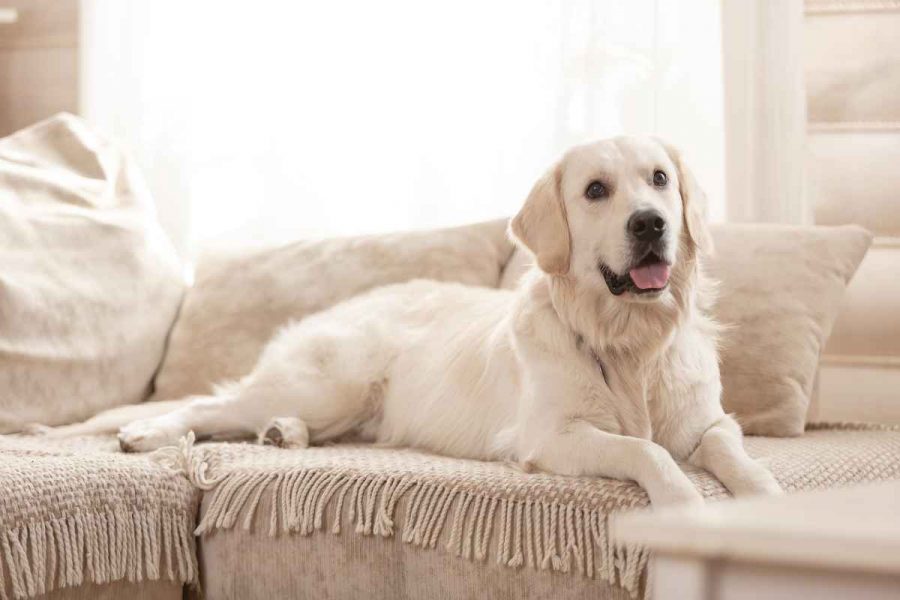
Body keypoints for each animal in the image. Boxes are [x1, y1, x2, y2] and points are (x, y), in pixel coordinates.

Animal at [49, 136, 780, 506]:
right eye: (596, 190)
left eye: (659, 179)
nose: (651, 224)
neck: (629, 341)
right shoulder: (552, 436)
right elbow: (645, 449)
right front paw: (684, 503)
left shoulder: (708, 419)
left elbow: (730, 451)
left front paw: (765, 494)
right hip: (332, 381)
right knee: (208, 405)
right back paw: (147, 432)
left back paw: (283, 434)